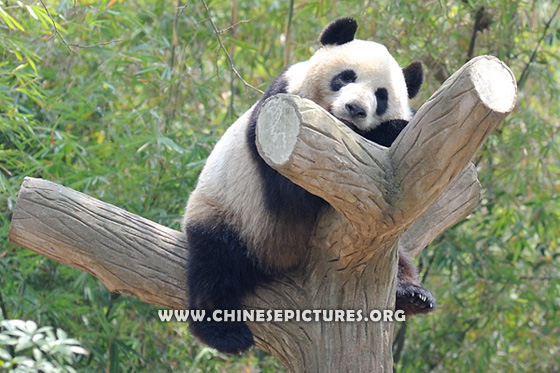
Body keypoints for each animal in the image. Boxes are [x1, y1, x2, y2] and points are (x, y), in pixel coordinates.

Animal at [183, 17, 434, 354]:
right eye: (346, 77)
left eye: (381, 96)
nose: (356, 109)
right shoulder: (276, 121)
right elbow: (295, 192)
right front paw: (391, 129)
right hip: (229, 213)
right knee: (214, 264)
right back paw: (224, 333)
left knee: (401, 259)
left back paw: (412, 294)